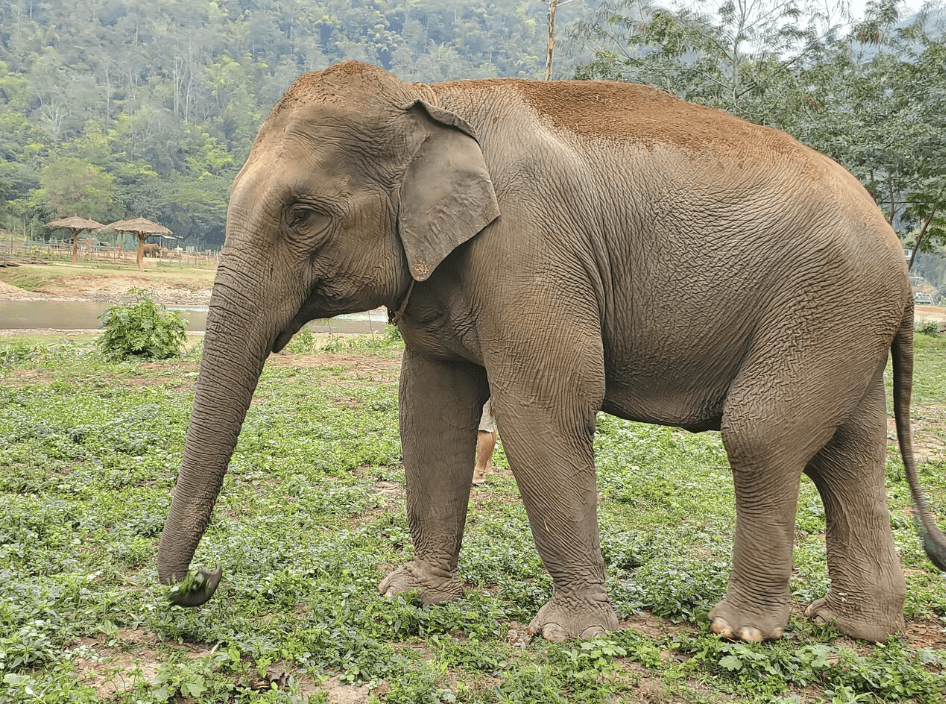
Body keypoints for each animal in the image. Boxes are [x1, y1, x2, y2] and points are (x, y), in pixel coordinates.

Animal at [157, 61, 946, 643]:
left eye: (303, 216)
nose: (203, 582)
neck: (433, 99)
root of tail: (902, 266)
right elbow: (431, 410)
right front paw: (411, 595)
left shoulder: (529, 245)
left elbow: (545, 405)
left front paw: (569, 636)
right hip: (843, 321)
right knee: (847, 454)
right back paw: (853, 627)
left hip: (825, 302)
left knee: (762, 435)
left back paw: (743, 630)